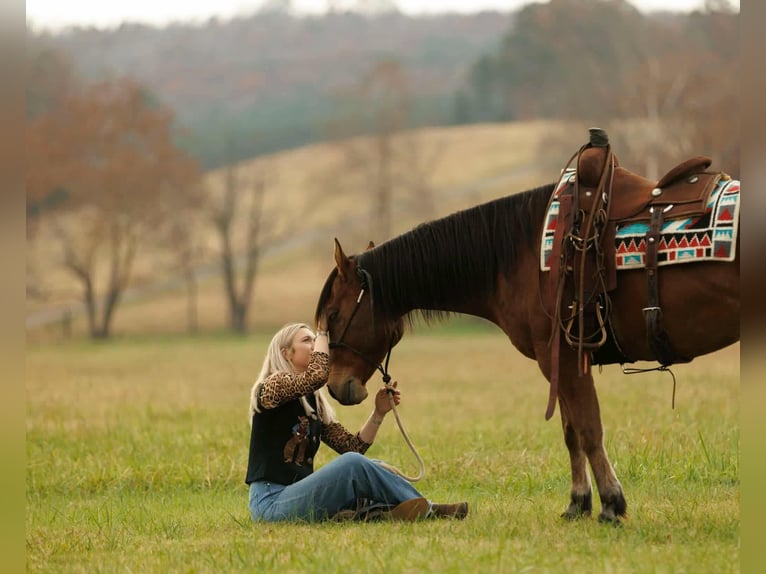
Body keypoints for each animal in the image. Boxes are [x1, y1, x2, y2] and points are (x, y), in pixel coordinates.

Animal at [314, 131, 740, 523]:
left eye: (333, 315)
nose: (334, 386)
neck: (523, 252)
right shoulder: (559, 366)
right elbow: (572, 433)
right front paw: (578, 504)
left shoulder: (565, 358)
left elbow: (589, 430)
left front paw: (611, 505)